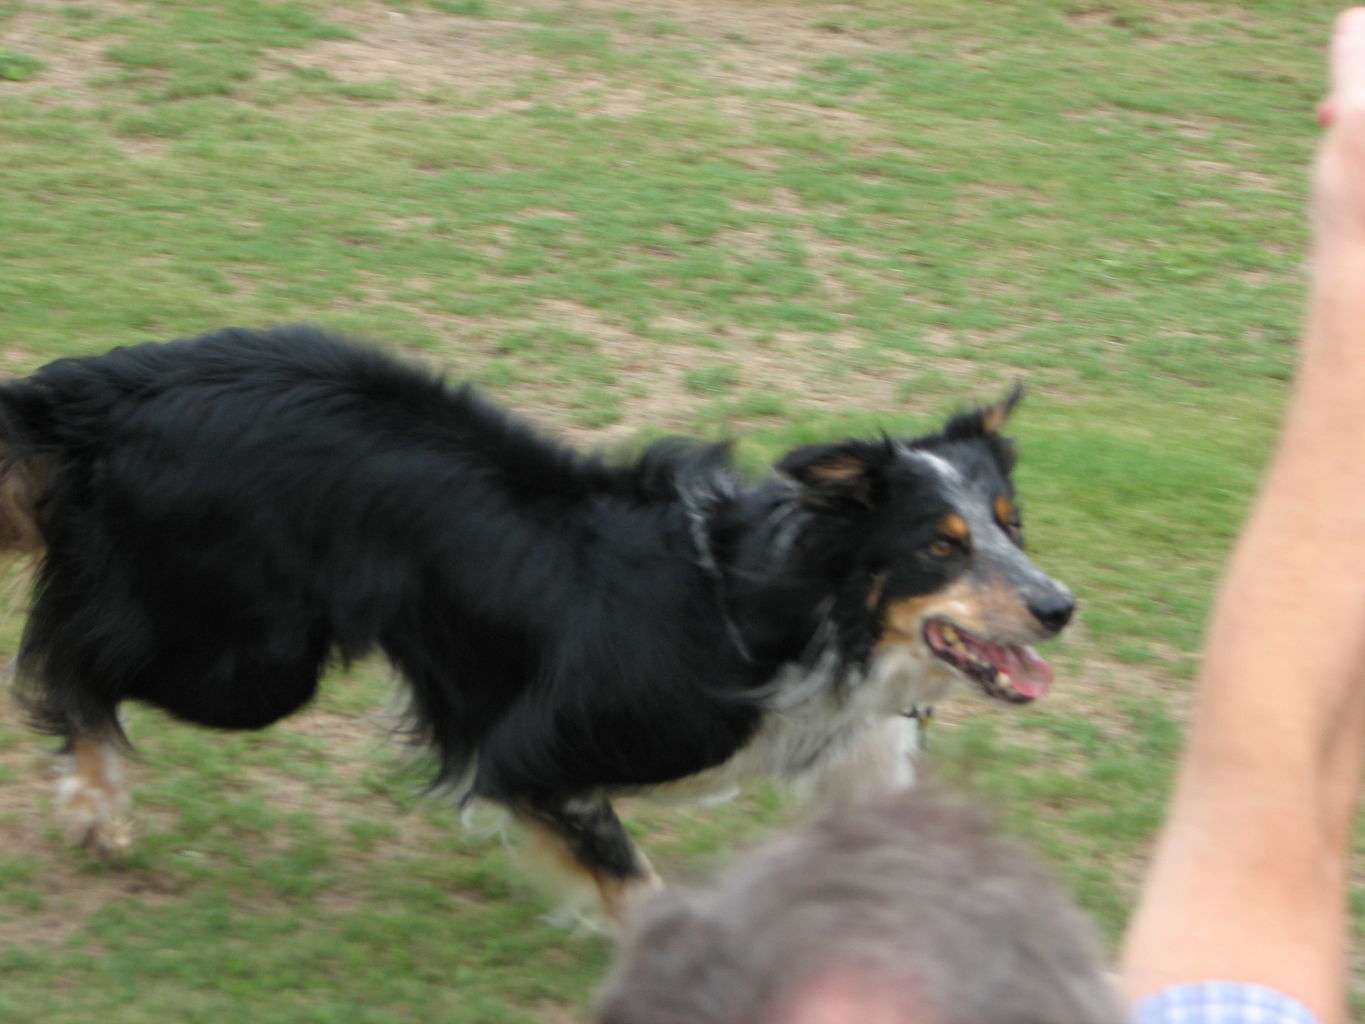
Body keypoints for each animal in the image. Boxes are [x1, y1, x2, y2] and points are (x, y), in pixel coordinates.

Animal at [0, 326, 1070, 922]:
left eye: (1010, 525)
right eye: (939, 547)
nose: (1059, 607)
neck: (794, 613)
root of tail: (105, 387)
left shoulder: (858, 757)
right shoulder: (537, 752)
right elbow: (632, 881)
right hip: (254, 660)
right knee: (72, 656)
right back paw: (95, 804)